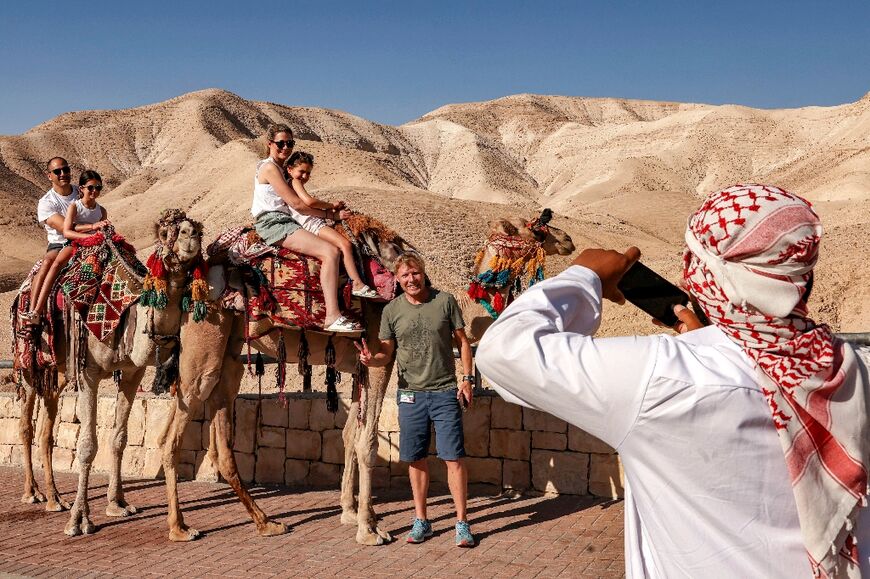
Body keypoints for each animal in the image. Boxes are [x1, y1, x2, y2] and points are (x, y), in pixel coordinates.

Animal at [13, 208, 206, 536]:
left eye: (197, 229)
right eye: (165, 231)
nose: (189, 235)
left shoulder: (132, 373)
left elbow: (119, 438)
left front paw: (117, 503)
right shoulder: (89, 374)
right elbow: (87, 445)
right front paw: (79, 520)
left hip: (57, 373)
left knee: (46, 431)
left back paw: (54, 498)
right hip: (27, 365)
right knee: (26, 426)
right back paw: (32, 493)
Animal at [161, 218, 416, 544]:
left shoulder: (361, 363)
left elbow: (349, 435)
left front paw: (351, 513)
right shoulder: (379, 355)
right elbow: (367, 441)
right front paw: (369, 530)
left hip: (226, 357)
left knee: (216, 437)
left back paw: (265, 522)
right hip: (203, 346)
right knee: (173, 435)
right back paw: (179, 527)